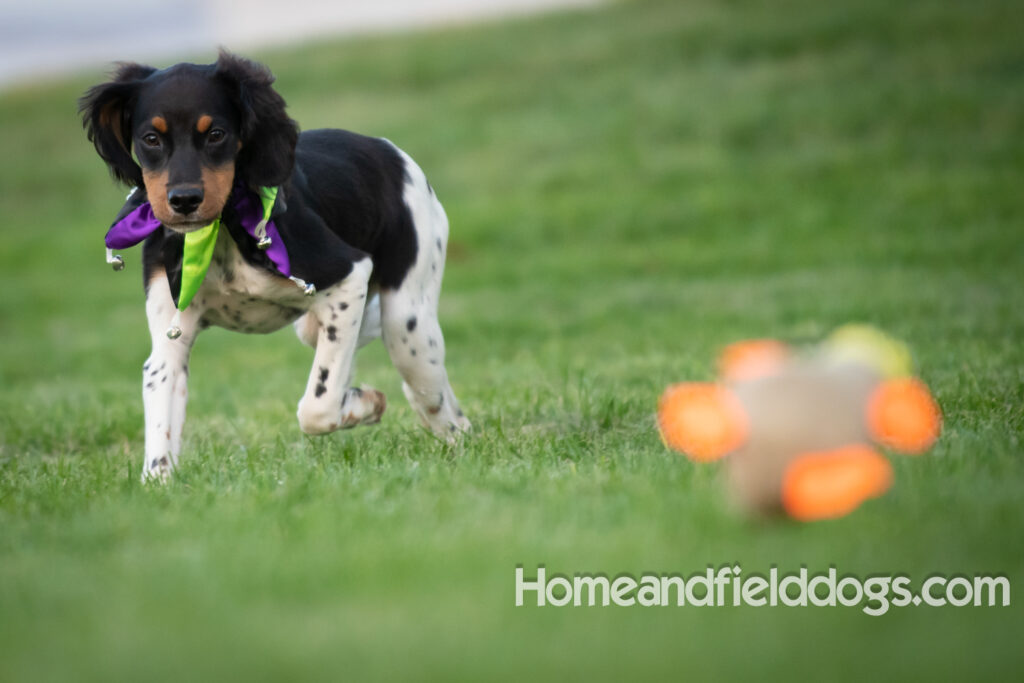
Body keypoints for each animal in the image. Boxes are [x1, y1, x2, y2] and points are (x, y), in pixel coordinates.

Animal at [79, 52, 471, 481]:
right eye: (151, 139)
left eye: (216, 134)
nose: (183, 200)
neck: (221, 230)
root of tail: (390, 151)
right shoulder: (171, 332)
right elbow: (160, 417)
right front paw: (159, 482)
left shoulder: (348, 275)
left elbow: (317, 407)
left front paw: (363, 405)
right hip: (320, 326)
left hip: (407, 322)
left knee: (434, 398)